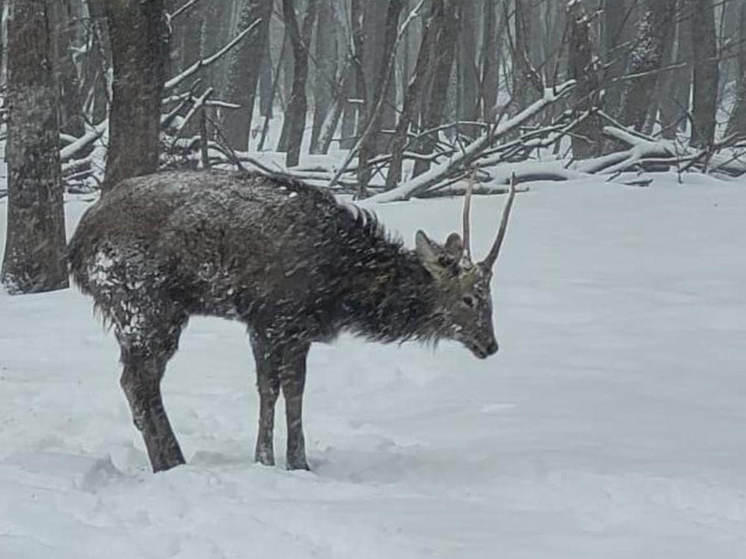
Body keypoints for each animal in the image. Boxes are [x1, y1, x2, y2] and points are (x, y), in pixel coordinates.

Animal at [67, 170, 516, 472]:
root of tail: (76, 248)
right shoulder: (272, 318)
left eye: (491, 297)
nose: (491, 344)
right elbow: (274, 390)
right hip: (143, 303)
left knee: (139, 381)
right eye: (470, 298)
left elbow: (290, 389)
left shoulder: (290, 328)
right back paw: (170, 462)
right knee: (137, 382)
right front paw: (270, 460)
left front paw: (294, 461)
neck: (341, 286)